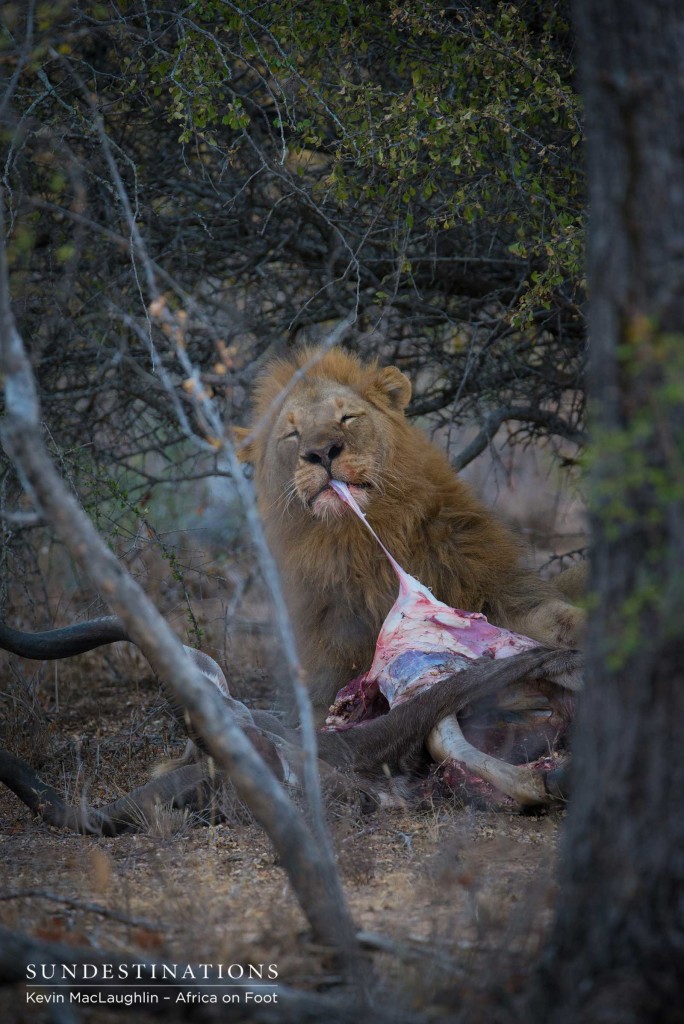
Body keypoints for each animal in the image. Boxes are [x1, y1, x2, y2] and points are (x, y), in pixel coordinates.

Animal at [236, 348, 581, 724]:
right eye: (292, 433)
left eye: (347, 417)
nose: (322, 451)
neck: (361, 542)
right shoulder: (327, 666)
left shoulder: (499, 592)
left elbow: (554, 620)